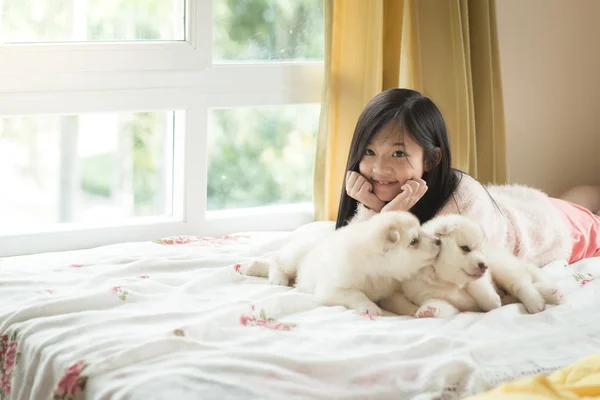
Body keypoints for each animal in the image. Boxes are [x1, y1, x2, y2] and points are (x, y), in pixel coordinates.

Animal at [239, 211, 440, 318]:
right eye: (414, 241)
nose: (439, 240)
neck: (377, 269)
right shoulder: (332, 289)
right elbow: (357, 294)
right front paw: (370, 307)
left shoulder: (389, 291)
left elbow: (399, 301)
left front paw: (416, 310)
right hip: (295, 256)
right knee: (278, 260)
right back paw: (275, 277)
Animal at [390, 214, 564, 318]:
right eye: (465, 248)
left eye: (479, 249)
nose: (484, 265)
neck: (445, 281)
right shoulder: (432, 296)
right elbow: (440, 305)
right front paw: (427, 310)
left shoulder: (484, 277)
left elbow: (480, 287)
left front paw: (492, 300)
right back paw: (553, 293)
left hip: (502, 267)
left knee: (522, 285)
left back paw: (536, 302)